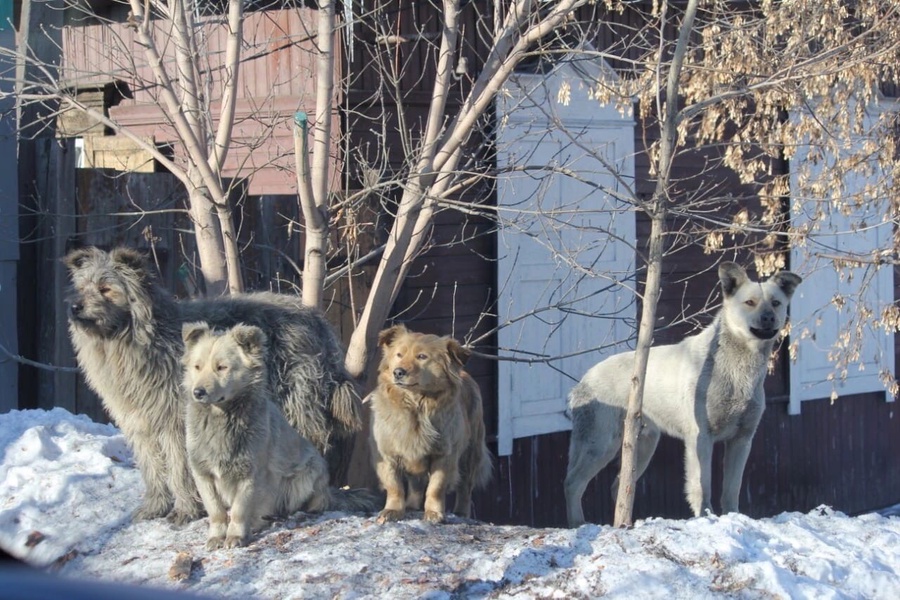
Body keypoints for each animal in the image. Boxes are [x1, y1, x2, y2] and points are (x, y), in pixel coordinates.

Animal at [67, 245, 362, 524]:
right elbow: (152, 467)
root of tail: (318, 321)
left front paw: (185, 510)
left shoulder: (175, 420)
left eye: (106, 289)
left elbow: (179, 468)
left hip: (297, 401)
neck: (130, 340)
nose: (74, 307)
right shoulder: (140, 422)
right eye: (81, 288)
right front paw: (156, 506)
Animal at [368, 326, 492, 524]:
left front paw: (434, 513)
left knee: (465, 487)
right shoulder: (387, 454)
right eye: (399, 355)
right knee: (416, 484)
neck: (416, 405)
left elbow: (436, 487)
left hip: (470, 453)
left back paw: (461, 512)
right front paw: (393, 510)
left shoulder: (444, 455)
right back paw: (411, 505)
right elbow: (395, 486)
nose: (398, 372)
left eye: (422, 357)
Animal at [564, 262, 800, 524]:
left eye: (776, 303)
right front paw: (706, 518)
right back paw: (578, 523)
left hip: (643, 446)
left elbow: (732, 489)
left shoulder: (742, 440)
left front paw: (733, 517)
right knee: (573, 483)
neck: (735, 370)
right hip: (601, 443)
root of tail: (582, 381)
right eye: (750, 302)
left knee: (619, 487)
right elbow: (702, 487)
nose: (769, 318)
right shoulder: (700, 438)